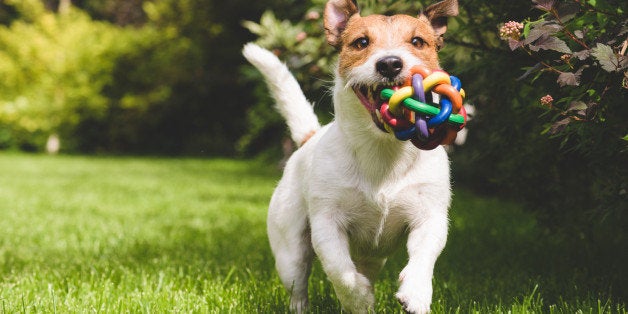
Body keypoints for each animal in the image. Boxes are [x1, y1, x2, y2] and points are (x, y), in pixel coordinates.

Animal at [243, 0, 458, 312]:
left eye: (418, 41)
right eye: (361, 42)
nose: (390, 63)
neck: (382, 150)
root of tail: (309, 137)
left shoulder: (429, 216)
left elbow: (424, 257)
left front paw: (416, 293)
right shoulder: (326, 223)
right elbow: (340, 271)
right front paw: (358, 298)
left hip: (372, 256)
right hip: (290, 251)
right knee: (298, 285)